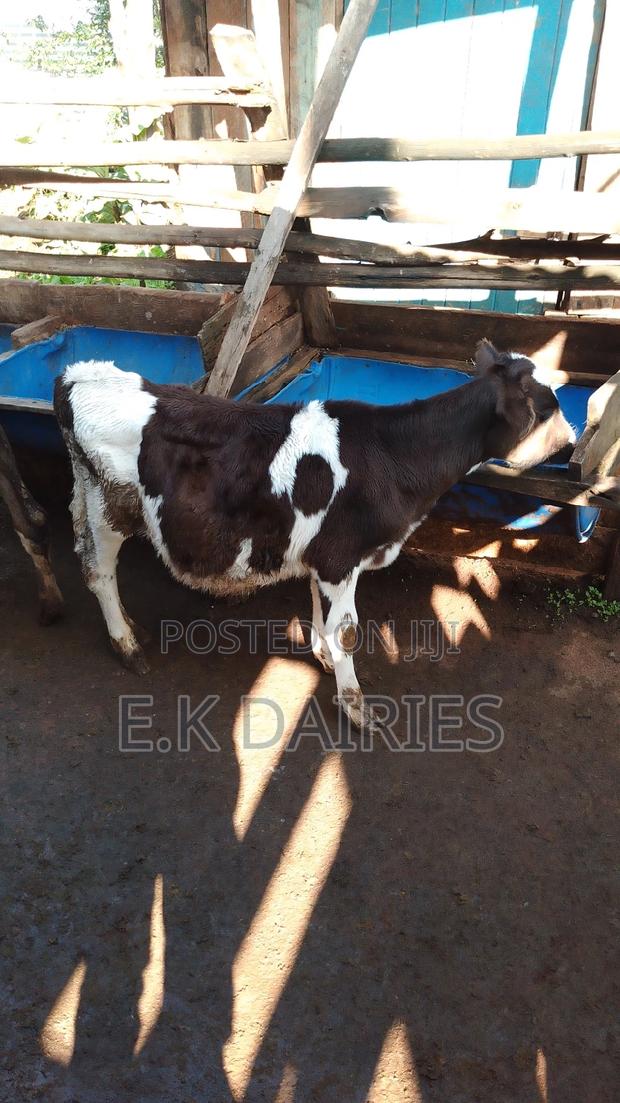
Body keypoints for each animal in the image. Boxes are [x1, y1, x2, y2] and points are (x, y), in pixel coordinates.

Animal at [54, 340, 574, 728]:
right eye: (548, 408)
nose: (571, 441)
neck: (394, 454)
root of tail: (78, 375)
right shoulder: (340, 556)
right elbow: (347, 630)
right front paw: (355, 707)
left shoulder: (324, 558)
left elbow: (320, 613)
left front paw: (323, 656)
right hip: (109, 508)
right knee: (99, 572)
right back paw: (126, 643)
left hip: (87, 497)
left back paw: (131, 625)